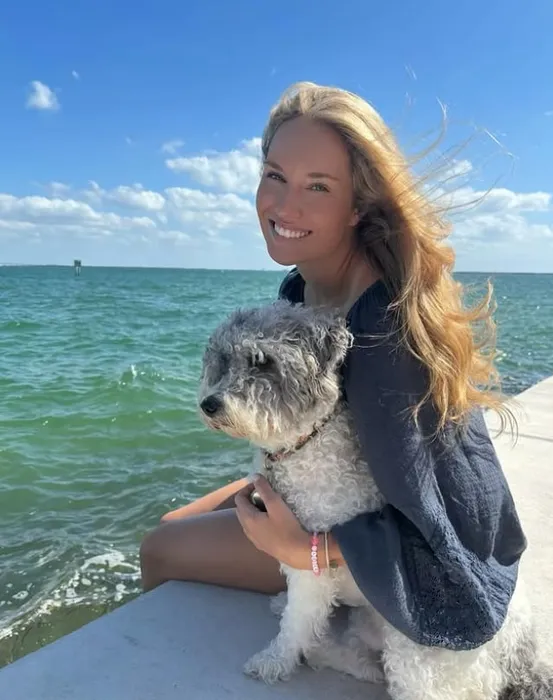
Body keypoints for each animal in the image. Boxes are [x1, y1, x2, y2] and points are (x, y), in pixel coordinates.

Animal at [197, 299, 551, 700]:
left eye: (263, 362)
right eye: (223, 360)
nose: (209, 404)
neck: (308, 441)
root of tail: (519, 658)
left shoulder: (309, 563)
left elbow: (297, 622)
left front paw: (274, 661)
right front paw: (281, 608)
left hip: (414, 654)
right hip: (366, 625)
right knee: (363, 662)